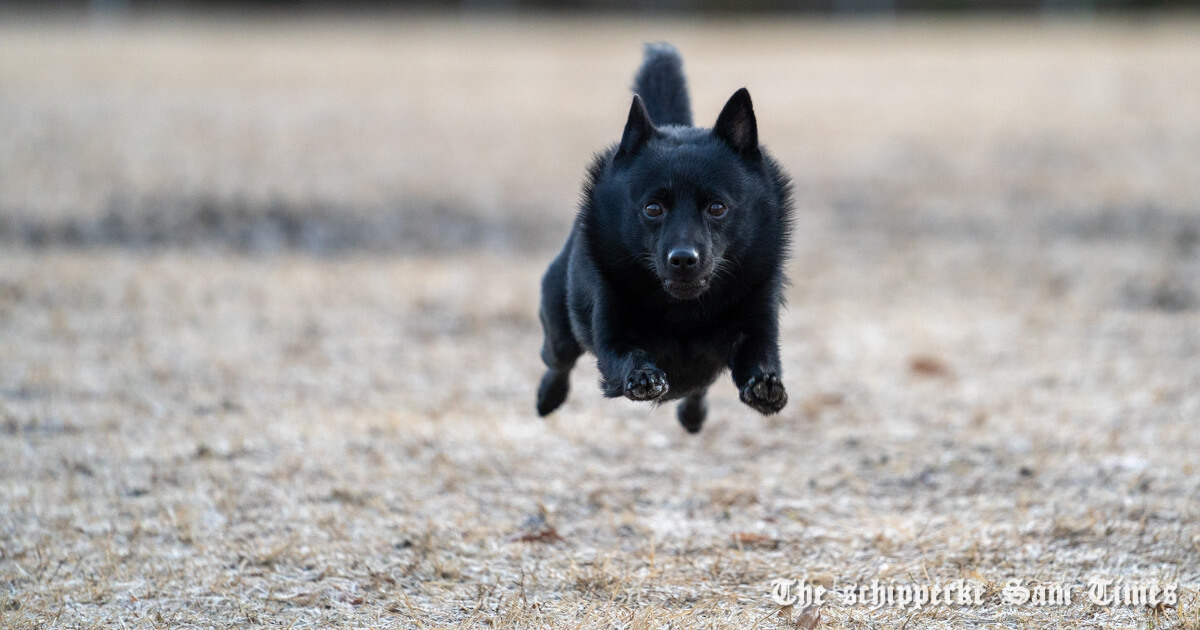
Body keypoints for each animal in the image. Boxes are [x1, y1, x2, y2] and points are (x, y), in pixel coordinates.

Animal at [540, 42, 792, 432]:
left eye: (717, 207)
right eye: (653, 208)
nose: (684, 259)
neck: (683, 313)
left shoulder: (757, 325)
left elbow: (761, 358)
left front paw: (765, 387)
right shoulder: (612, 331)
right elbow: (628, 355)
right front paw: (643, 376)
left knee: (699, 387)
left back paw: (693, 416)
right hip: (560, 328)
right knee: (557, 361)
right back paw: (547, 397)